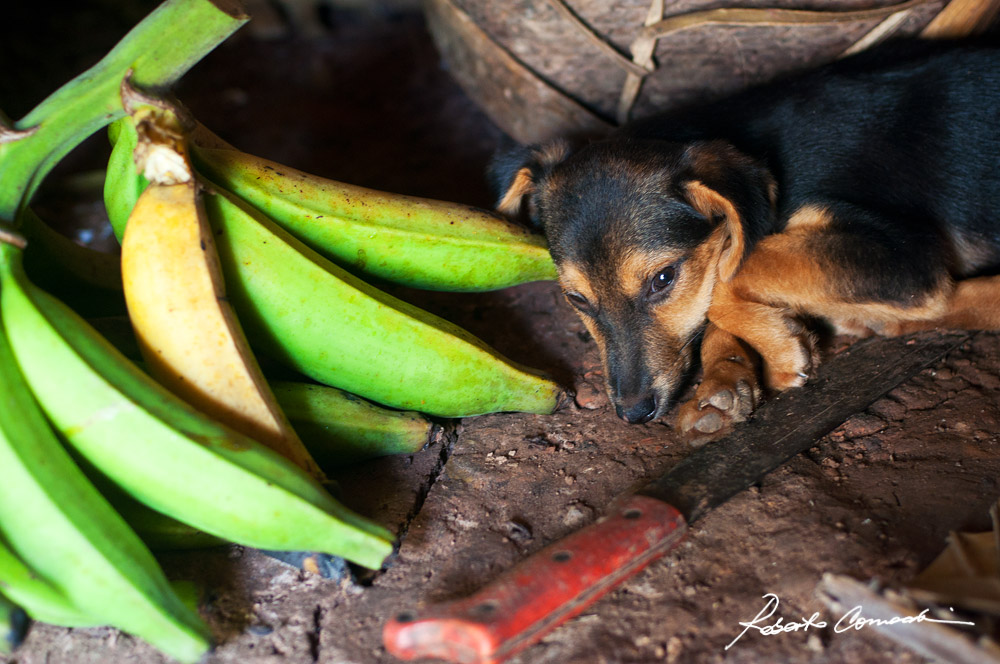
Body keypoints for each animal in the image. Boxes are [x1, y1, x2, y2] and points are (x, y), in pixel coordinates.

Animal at [490, 41, 1000, 446]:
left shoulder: (903, 254)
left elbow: (729, 273)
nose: (634, 414)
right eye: (576, 299)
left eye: (663, 279)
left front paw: (779, 349)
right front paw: (724, 382)